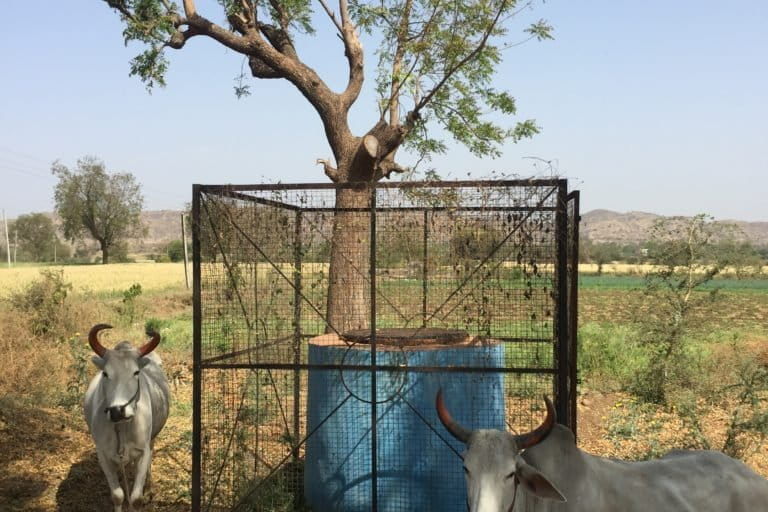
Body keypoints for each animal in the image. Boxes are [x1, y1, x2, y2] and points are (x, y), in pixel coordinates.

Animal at [84, 324, 171, 512]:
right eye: (105, 373)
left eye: (136, 372)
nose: (117, 411)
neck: (122, 428)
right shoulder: (103, 454)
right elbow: (118, 495)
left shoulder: (143, 452)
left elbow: (136, 498)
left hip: (152, 440)